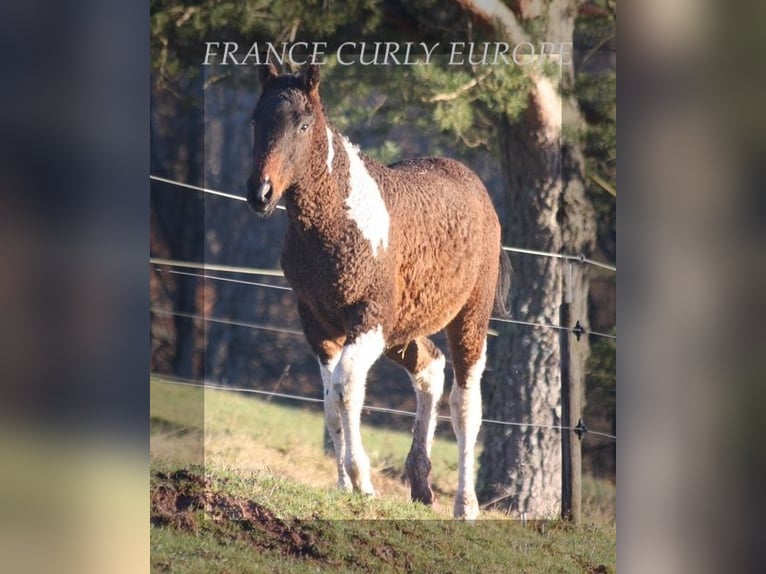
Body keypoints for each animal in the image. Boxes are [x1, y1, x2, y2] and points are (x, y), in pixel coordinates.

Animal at [246, 64, 510, 520]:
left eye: (303, 125)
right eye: (255, 120)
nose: (260, 193)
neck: (340, 220)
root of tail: (476, 188)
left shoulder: (368, 319)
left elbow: (347, 387)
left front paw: (362, 483)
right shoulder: (319, 326)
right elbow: (330, 401)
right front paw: (342, 485)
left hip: (468, 318)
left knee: (465, 404)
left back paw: (465, 505)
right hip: (403, 329)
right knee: (430, 367)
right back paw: (421, 486)